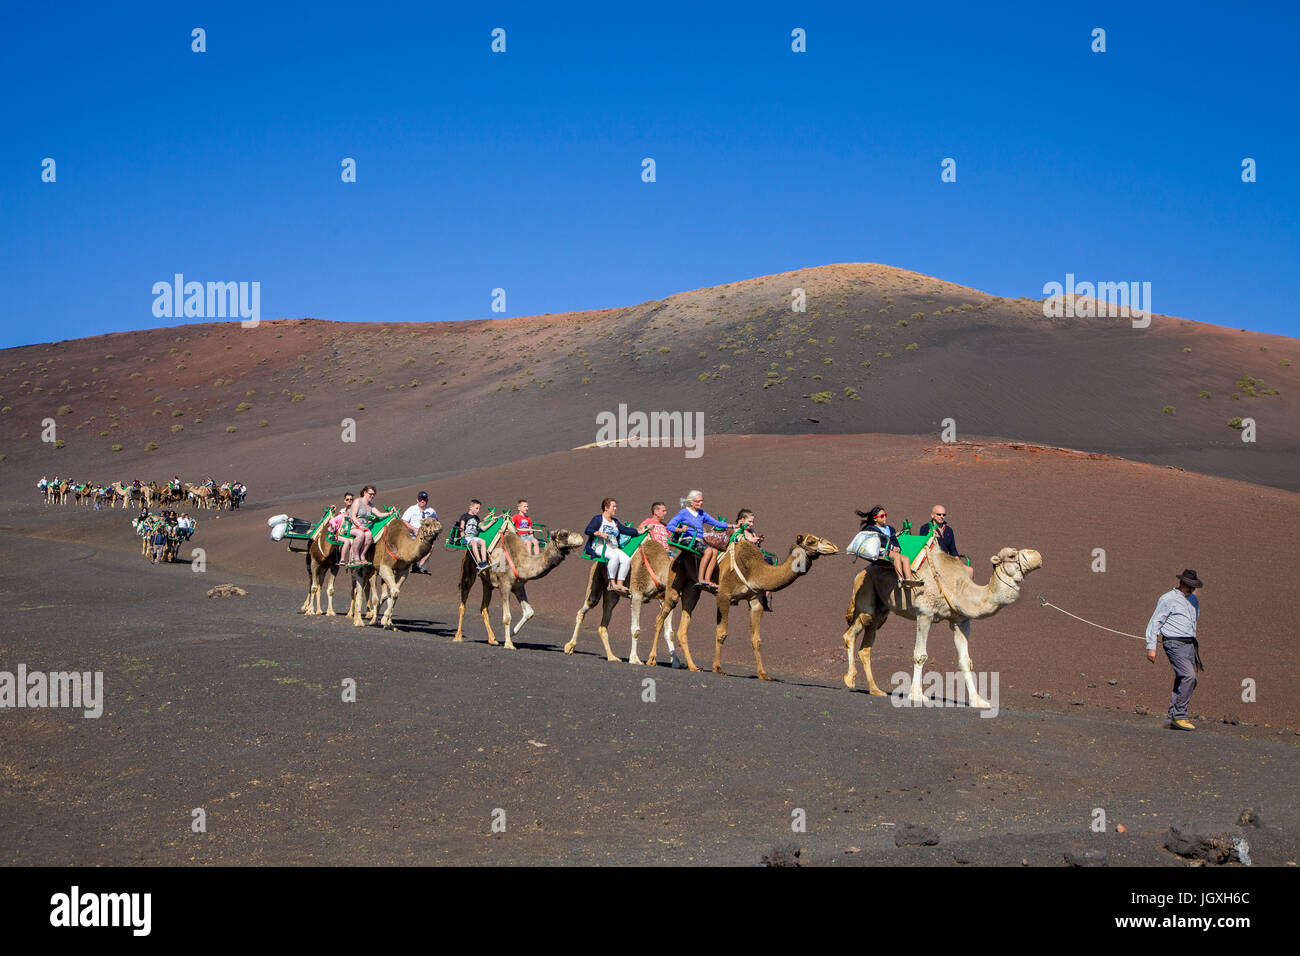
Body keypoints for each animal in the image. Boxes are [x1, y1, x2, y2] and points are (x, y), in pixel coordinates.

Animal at [454, 522, 582, 650]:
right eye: (564, 534)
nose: (580, 538)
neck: (521, 562)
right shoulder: (504, 585)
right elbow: (507, 617)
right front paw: (509, 644)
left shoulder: (519, 587)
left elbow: (529, 612)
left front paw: (513, 632)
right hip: (468, 565)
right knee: (463, 601)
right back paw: (458, 637)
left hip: (487, 582)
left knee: (484, 607)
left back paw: (492, 639)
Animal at [842, 541, 1045, 707]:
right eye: (1011, 555)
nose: (1038, 555)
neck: (960, 587)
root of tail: (861, 572)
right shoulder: (925, 613)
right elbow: (920, 655)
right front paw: (917, 695)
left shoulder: (961, 621)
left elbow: (965, 661)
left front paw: (978, 701)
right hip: (866, 600)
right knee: (850, 633)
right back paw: (850, 680)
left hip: (881, 613)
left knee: (865, 647)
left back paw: (876, 690)